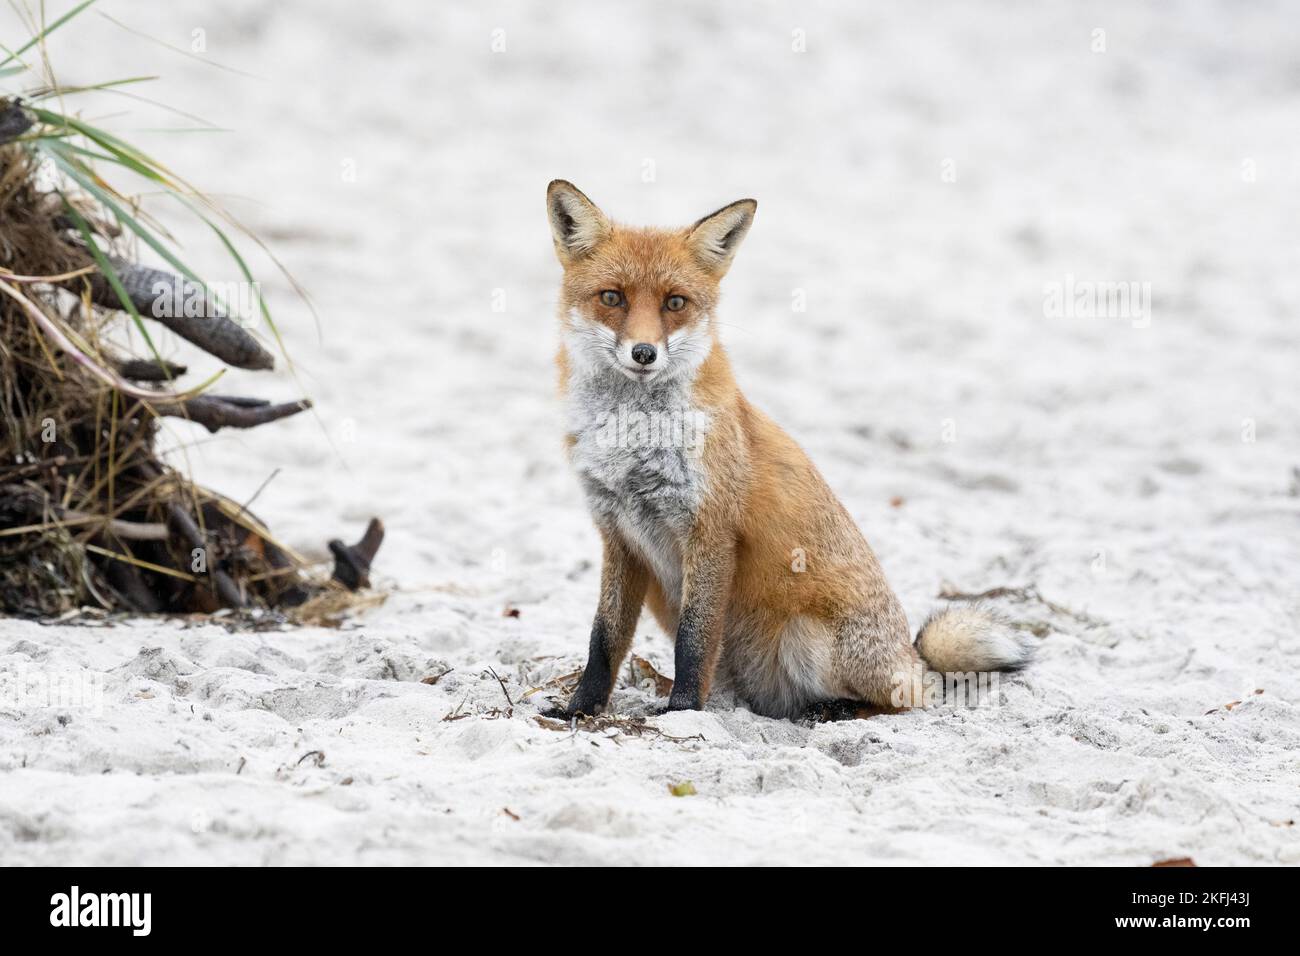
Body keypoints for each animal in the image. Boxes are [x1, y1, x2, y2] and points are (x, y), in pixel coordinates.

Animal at [546, 180, 1033, 719]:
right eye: (612, 297)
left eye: (675, 302)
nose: (644, 353)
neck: (631, 440)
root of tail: (910, 656)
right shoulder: (618, 534)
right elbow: (604, 638)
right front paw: (579, 709)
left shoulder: (710, 530)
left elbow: (694, 640)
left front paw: (683, 712)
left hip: (809, 638)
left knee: (903, 701)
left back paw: (833, 710)